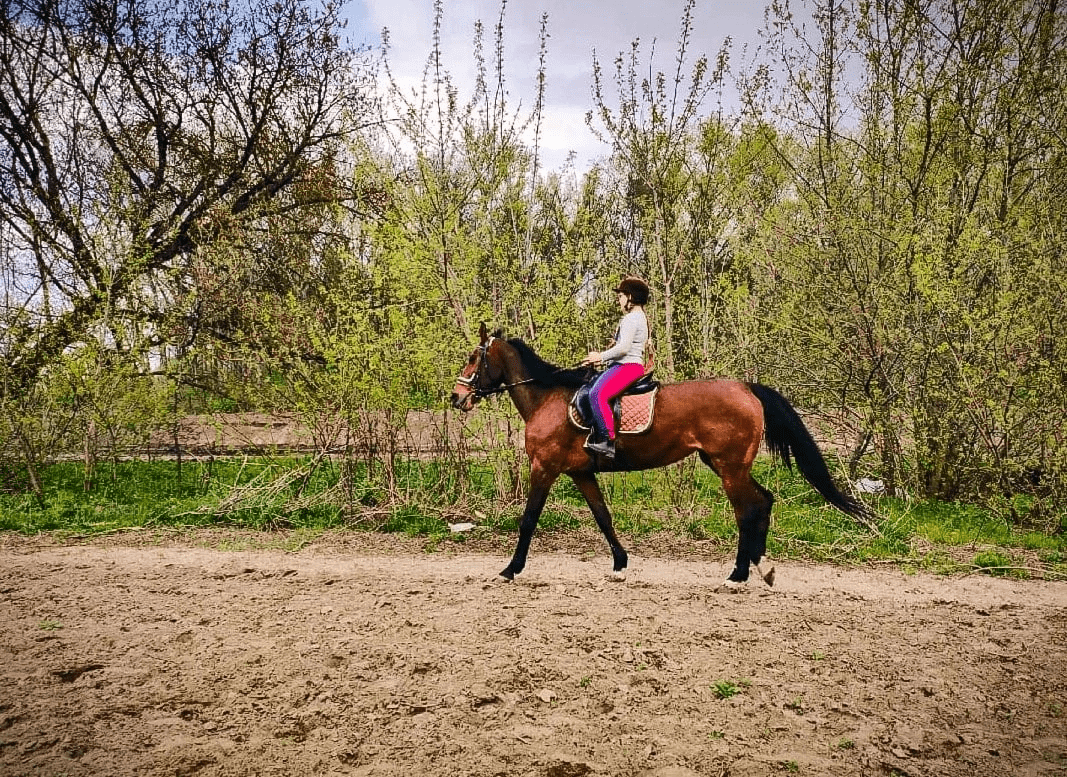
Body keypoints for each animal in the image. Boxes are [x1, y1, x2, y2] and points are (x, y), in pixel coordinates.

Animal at [446, 320, 870, 580]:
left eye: (473, 357)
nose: (456, 397)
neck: (547, 397)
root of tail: (747, 388)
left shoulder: (544, 467)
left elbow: (529, 519)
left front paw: (510, 568)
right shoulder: (581, 472)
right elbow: (603, 518)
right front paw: (620, 563)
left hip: (730, 468)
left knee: (747, 512)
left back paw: (738, 574)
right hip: (725, 465)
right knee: (764, 501)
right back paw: (759, 568)